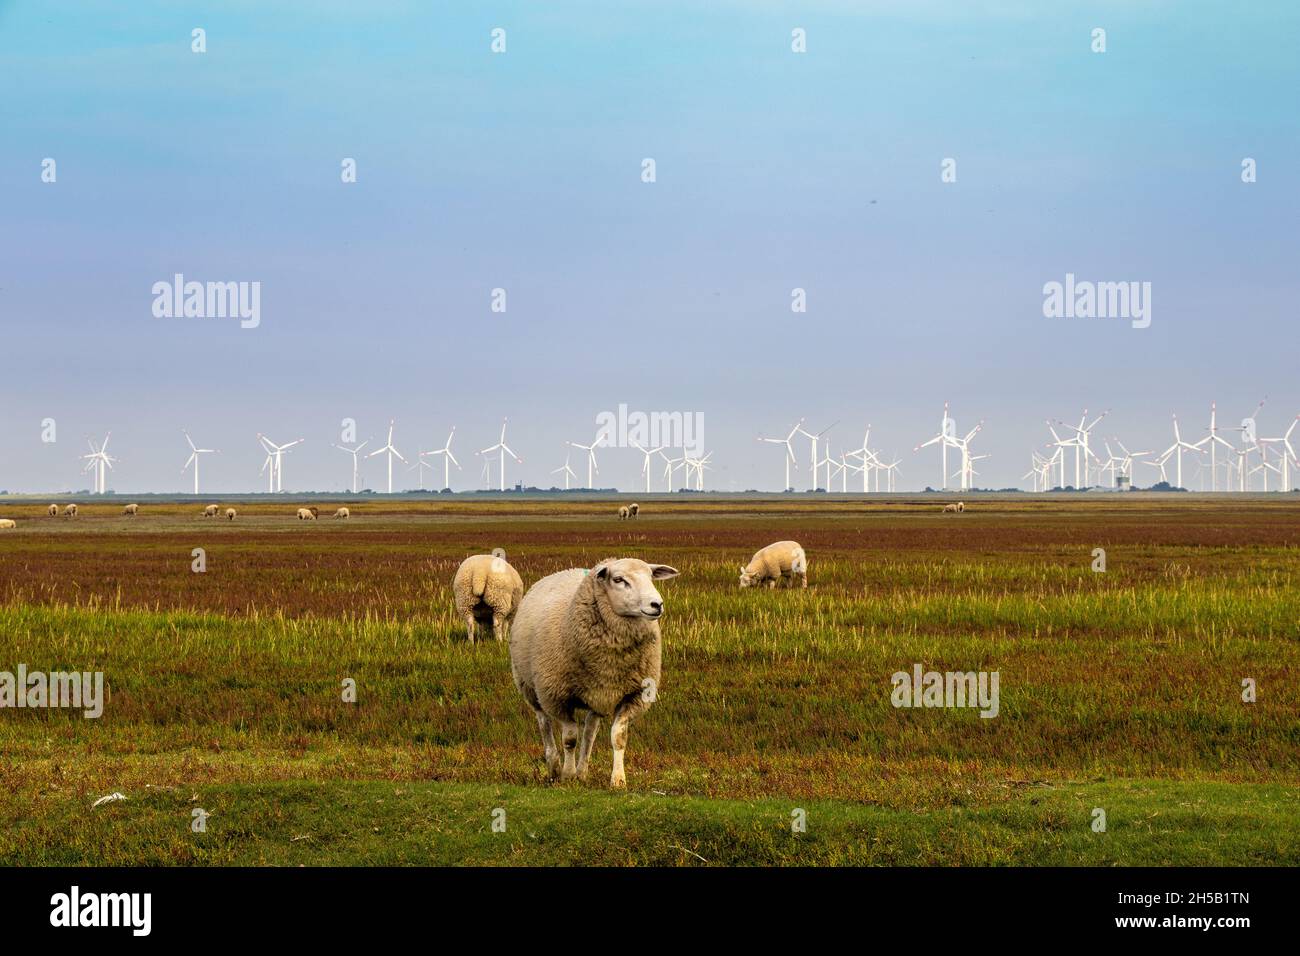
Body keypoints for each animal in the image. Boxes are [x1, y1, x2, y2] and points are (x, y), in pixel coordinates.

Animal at [509, 557, 679, 788]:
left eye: (651, 577)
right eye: (618, 579)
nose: (657, 605)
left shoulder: (634, 695)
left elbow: (618, 737)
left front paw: (618, 780)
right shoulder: (558, 697)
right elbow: (569, 738)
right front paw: (567, 775)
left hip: (597, 694)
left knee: (590, 731)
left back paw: (583, 771)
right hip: (530, 688)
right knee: (544, 724)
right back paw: (554, 767)